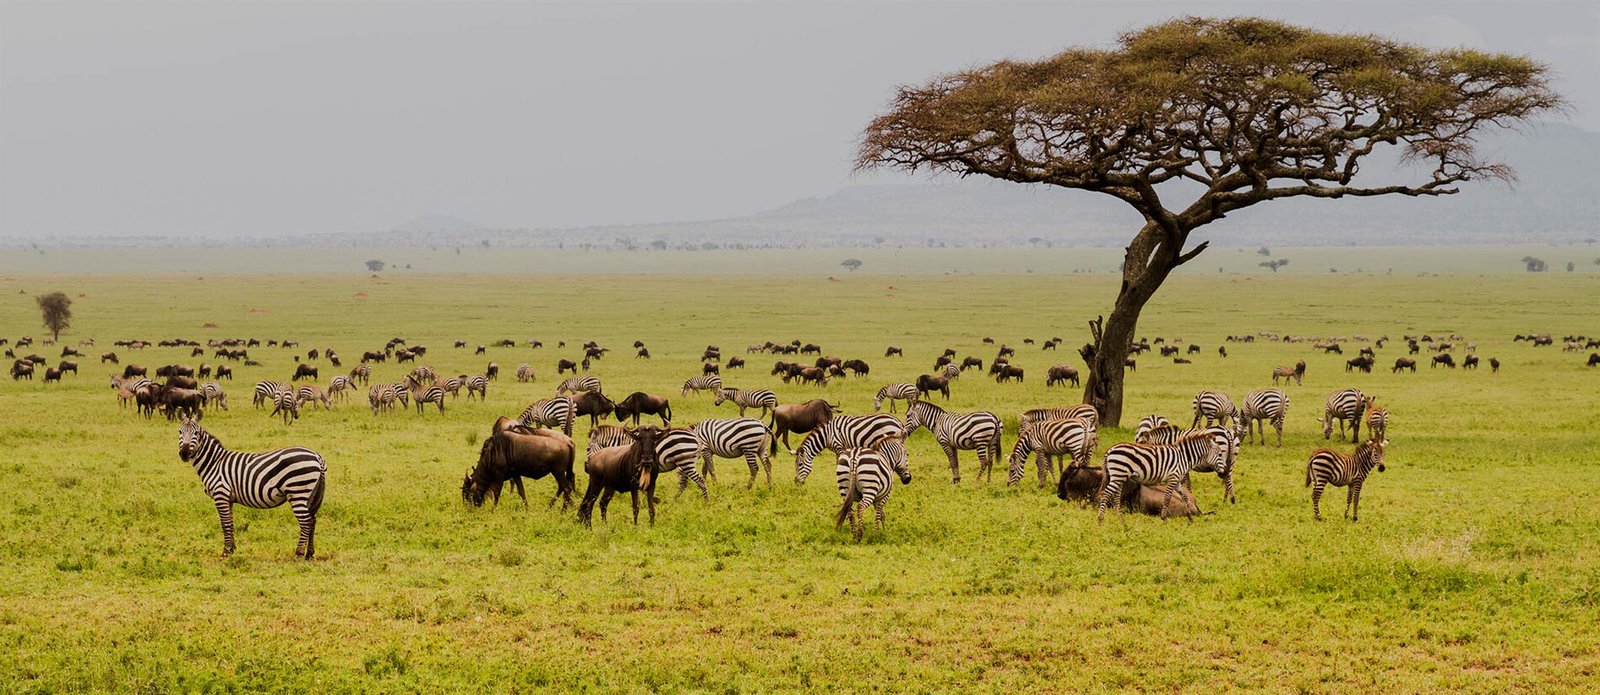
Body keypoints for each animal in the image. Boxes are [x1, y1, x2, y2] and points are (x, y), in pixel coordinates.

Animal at [177, 416, 326, 558]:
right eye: (179, 432)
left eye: (196, 433)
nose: (184, 453)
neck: (214, 462)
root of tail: (317, 456)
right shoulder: (228, 499)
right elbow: (230, 523)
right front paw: (232, 549)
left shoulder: (220, 494)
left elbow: (225, 524)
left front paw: (225, 553)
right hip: (310, 494)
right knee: (313, 520)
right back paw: (309, 554)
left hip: (297, 491)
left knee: (306, 522)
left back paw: (299, 553)